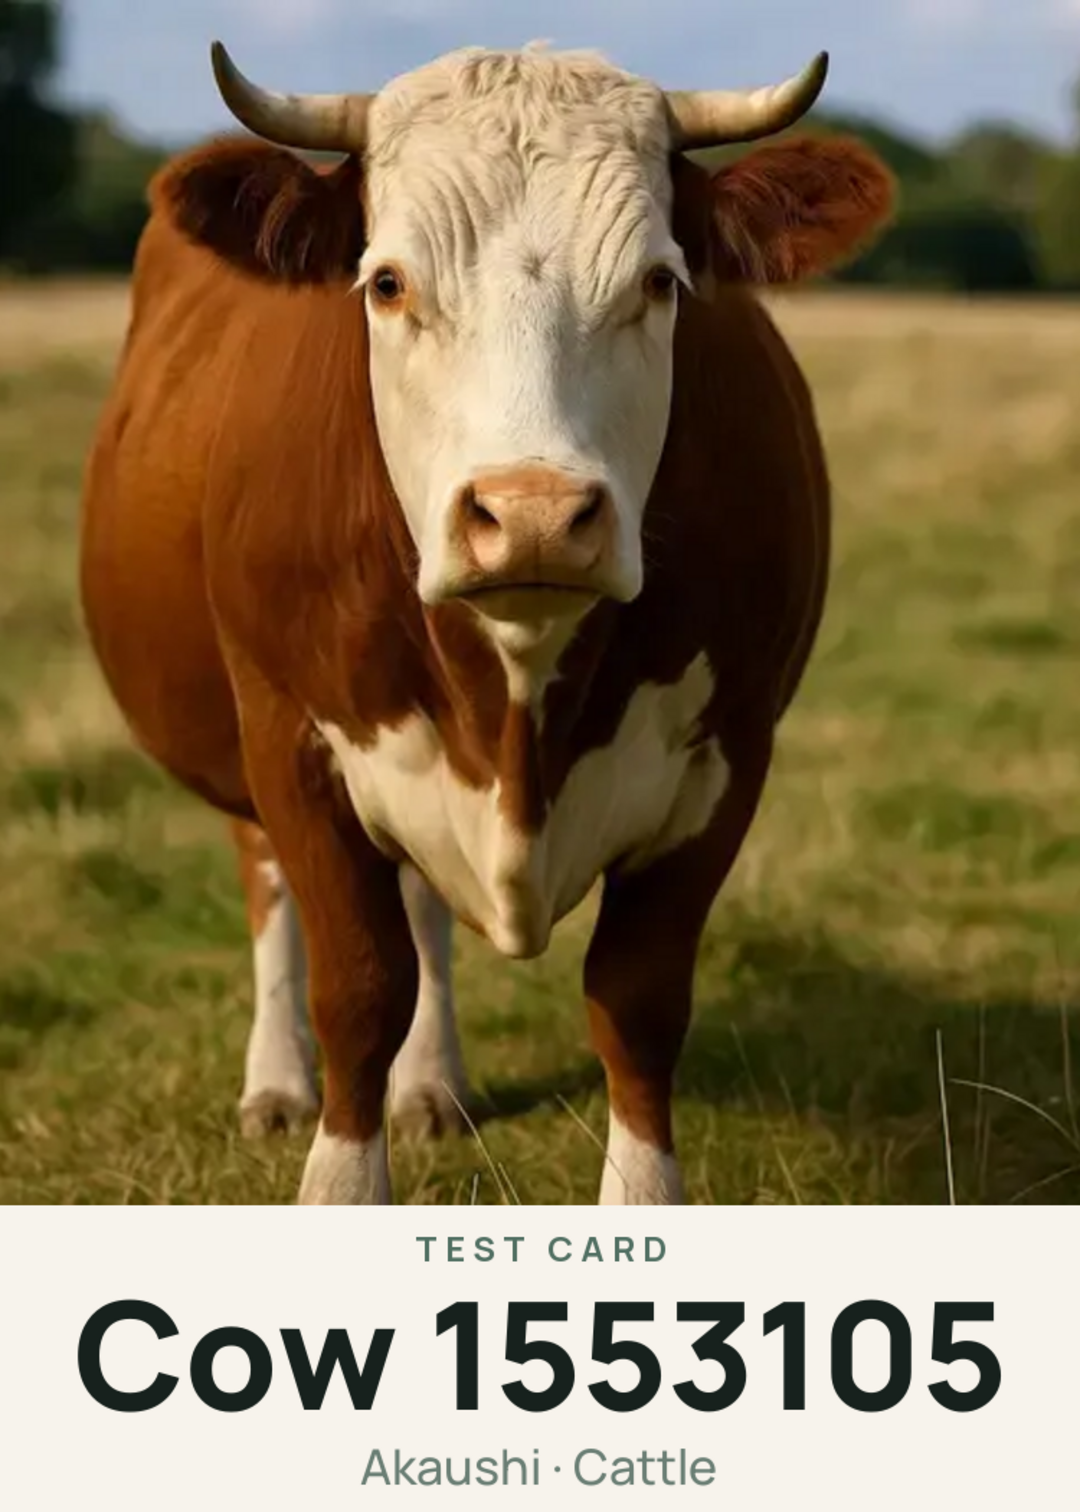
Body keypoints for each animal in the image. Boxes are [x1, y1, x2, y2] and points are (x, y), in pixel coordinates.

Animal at [79, 40, 894, 1205]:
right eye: (387, 282)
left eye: (659, 281)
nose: (534, 516)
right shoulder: (289, 737)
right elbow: (358, 989)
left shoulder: (729, 757)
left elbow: (637, 1002)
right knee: (269, 884)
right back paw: (275, 1082)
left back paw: (431, 1086)